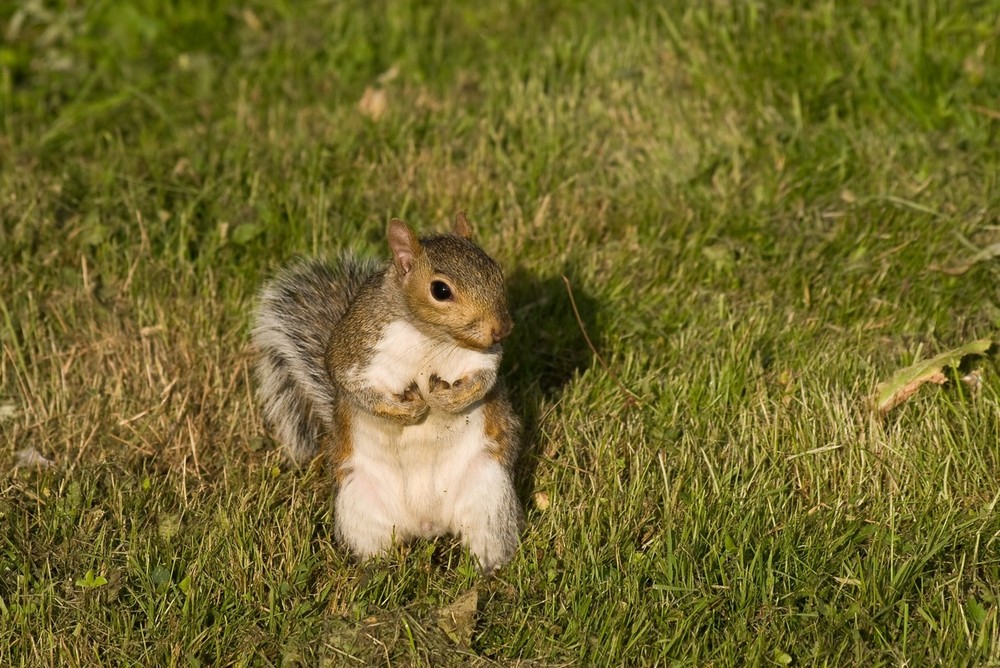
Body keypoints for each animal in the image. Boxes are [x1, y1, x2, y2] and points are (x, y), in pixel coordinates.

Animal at [250, 213, 524, 576]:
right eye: (440, 290)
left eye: (495, 270)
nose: (502, 329)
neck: (431, 338)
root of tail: (427, 524)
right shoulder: (357, 351)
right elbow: (355, 387)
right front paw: (408, 412)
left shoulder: (481, 357)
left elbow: (484, 379)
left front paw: (447, 400)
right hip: (361, 509)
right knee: (375, 552)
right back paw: (377, 573)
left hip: (489, 498)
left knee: (485, 539)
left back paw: (488, 572)